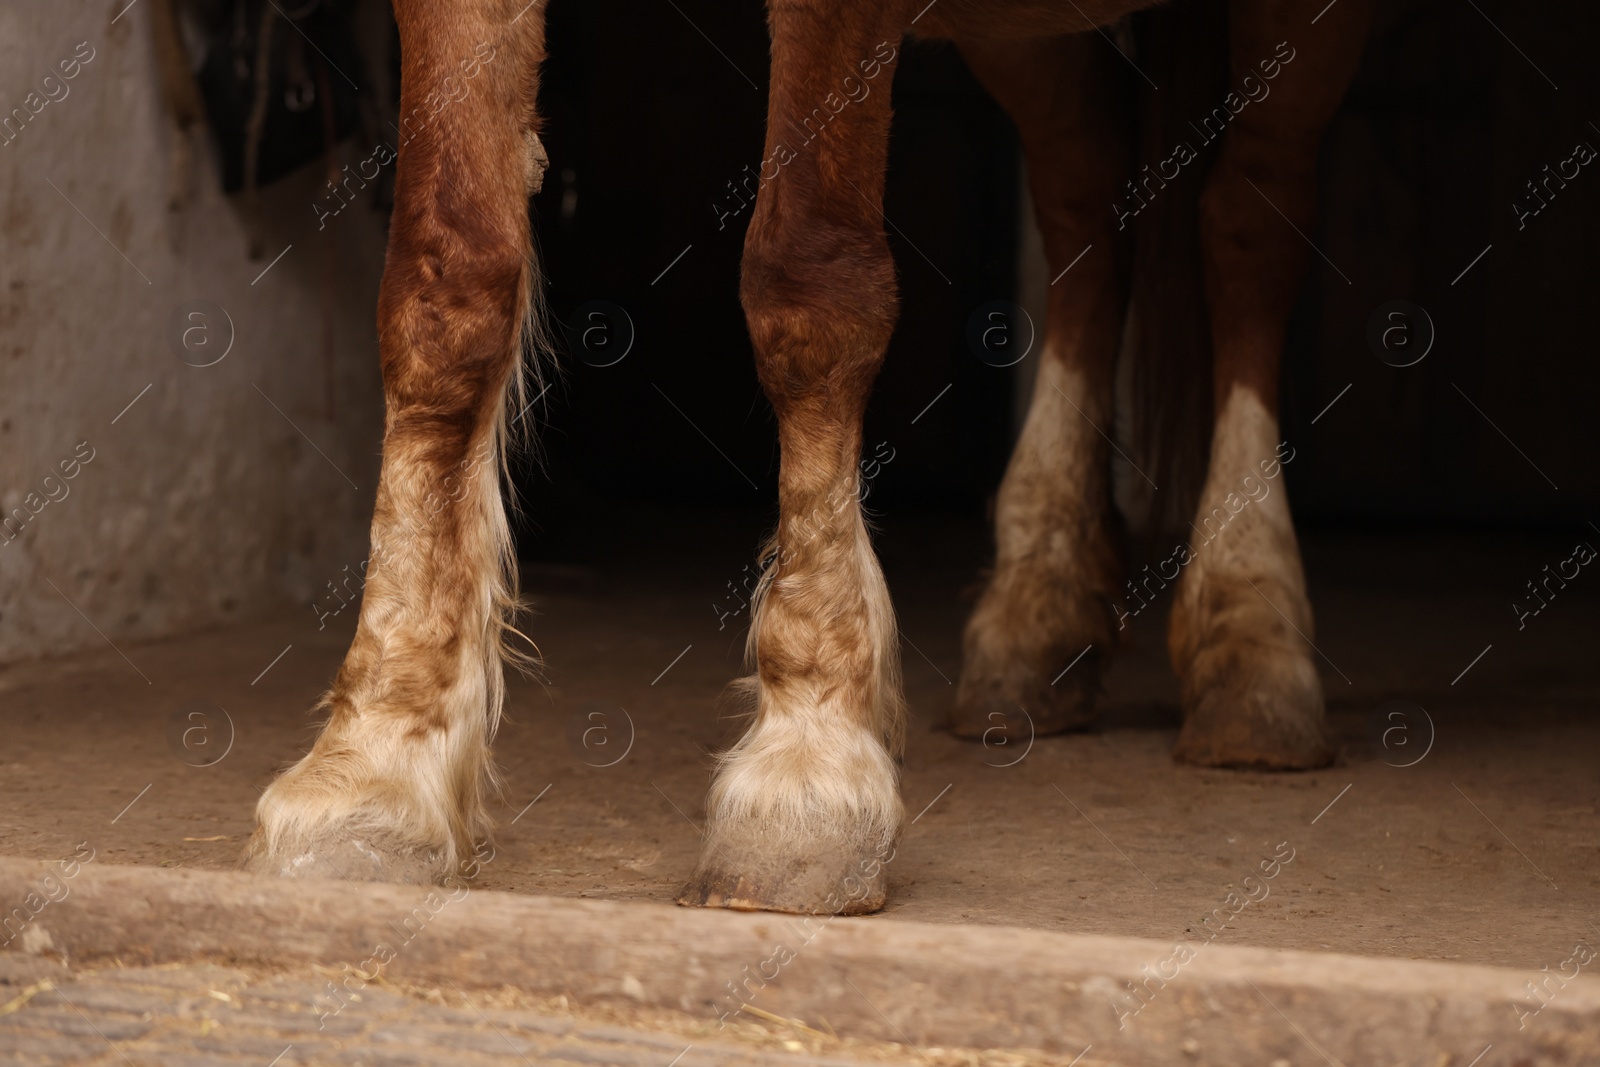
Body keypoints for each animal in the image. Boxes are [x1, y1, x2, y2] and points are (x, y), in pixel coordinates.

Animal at [240, 0, 1376, 921]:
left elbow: (809, 284)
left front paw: (810, 756)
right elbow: (444, 291)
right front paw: (376, 758)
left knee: (1248, 219)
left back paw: (1252, 632)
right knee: (1085, 194)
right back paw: (1039, 608)